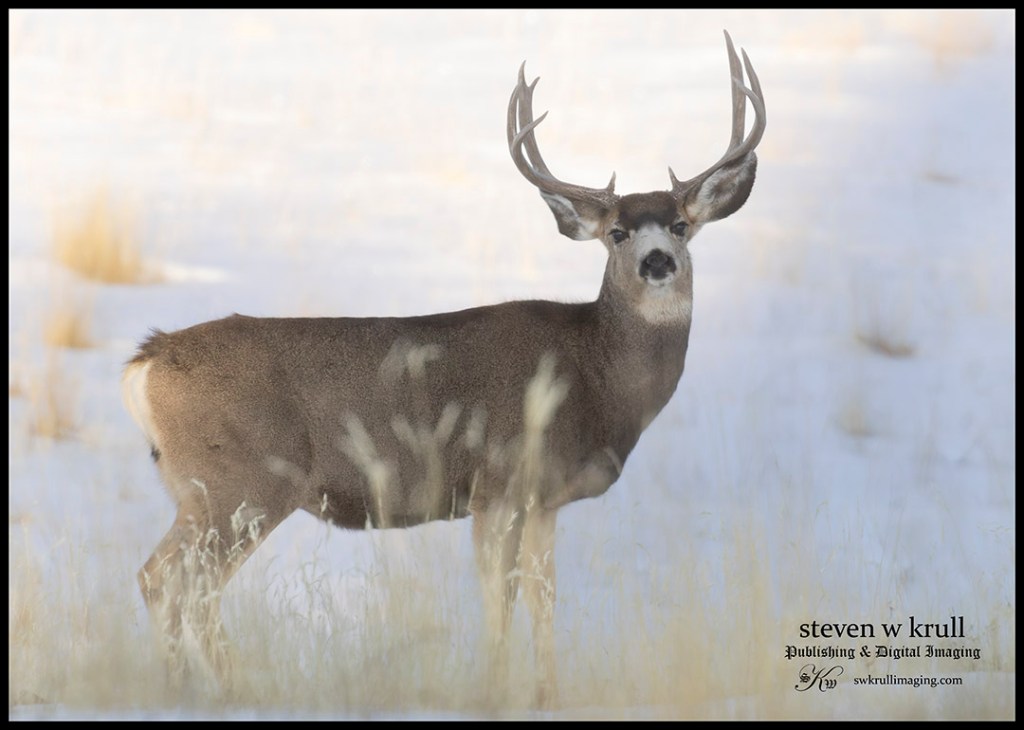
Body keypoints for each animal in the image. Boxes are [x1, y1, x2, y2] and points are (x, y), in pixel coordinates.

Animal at [121, 30, 764, 708]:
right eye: (616, 232)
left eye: (681, 224)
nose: (658, 260)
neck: (594, 376)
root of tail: (146, 360)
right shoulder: (498, 484)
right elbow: (500, 599)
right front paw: (494, 690)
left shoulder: (543, 500)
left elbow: (544, 599)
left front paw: (546, 695)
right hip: (240, 485)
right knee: (182, 583)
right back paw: (225, 689)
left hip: (201, 493)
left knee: (164, 580)